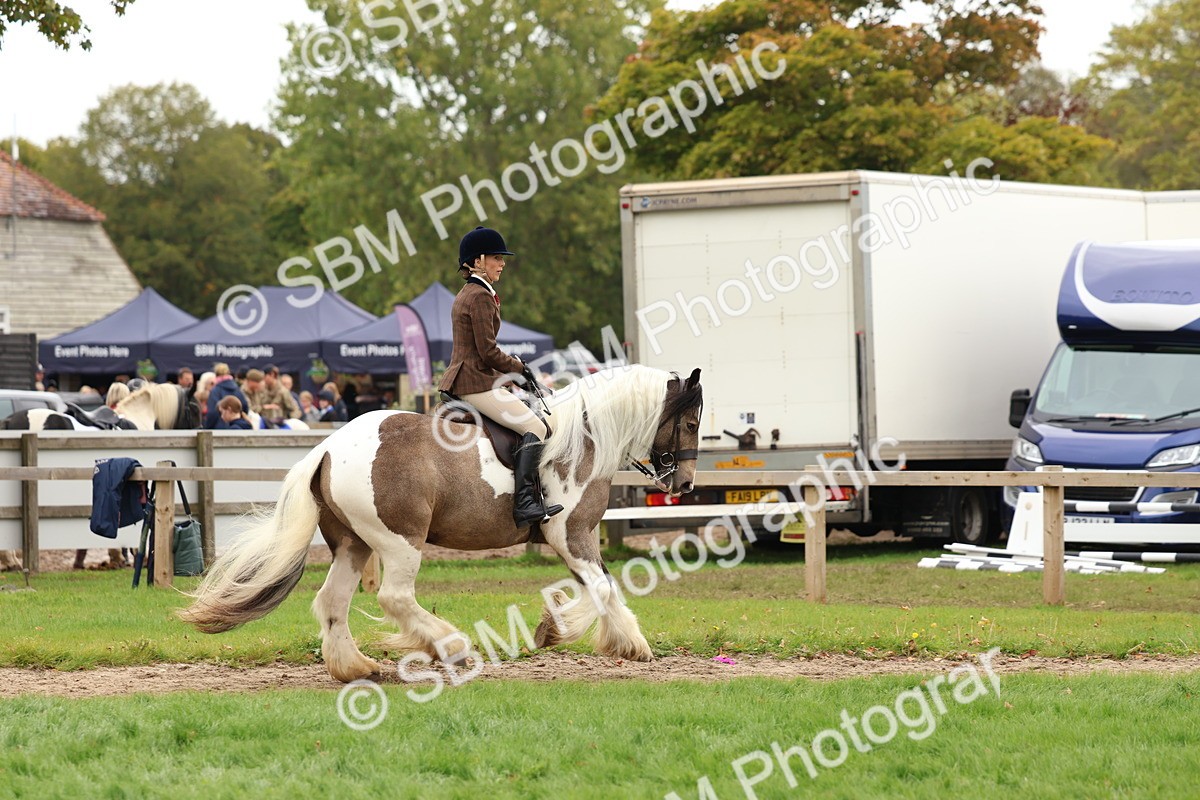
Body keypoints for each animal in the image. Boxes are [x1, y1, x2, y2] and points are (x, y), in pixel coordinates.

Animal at [179, 364, 703, 683]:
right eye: (692, 423)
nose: (686, 484)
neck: (582, 438)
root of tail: (326, 448)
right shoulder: (570, 535)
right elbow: (602, 587)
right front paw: (618, 642)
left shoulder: (575, 539)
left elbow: (598, 587)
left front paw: (567, 628)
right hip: (400, 542)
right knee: (394, 597)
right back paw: (451, 646)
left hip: (353, 544)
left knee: (332, 601)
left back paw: (356, 667)